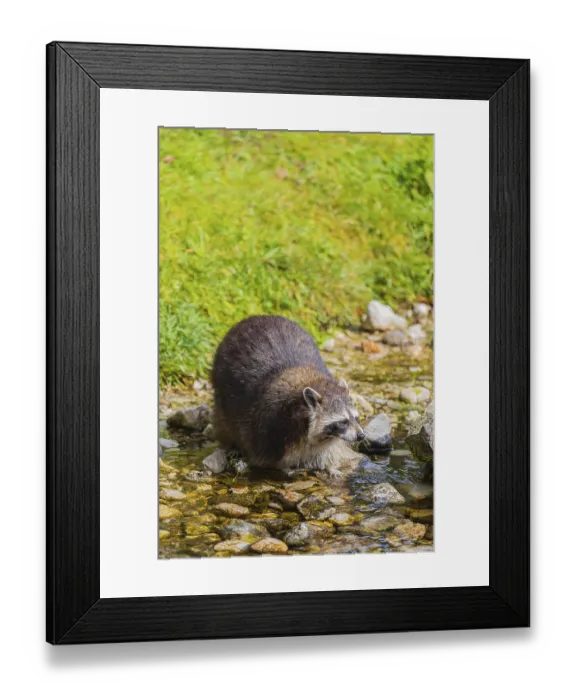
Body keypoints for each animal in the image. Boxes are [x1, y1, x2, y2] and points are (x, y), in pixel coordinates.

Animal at [211, 315, 365, 478]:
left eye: (356, 418)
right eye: (343, 422)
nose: (361, 436)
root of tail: (255, 317)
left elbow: (327, 451)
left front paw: (331, 466)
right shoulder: (270, 424)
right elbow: (264, 456)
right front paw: (284, 468)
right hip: (221, 384)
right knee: (225, 419)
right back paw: (231, 443)